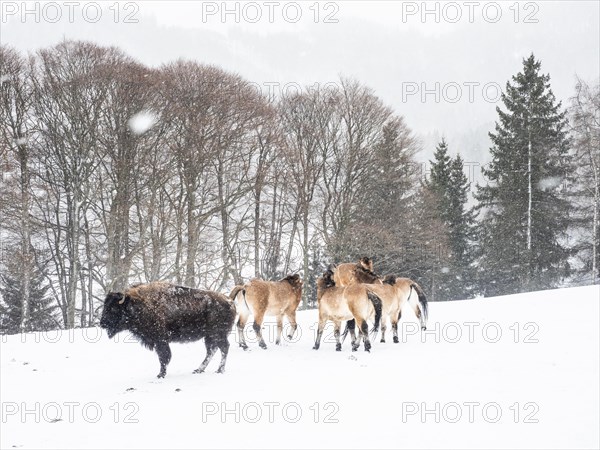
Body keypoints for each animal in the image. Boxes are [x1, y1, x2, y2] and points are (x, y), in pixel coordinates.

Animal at [99, 284, 236, 378]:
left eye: (113, 308)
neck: (137, 304)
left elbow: (164, 357)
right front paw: (161, 373)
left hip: (218, 334)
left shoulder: (160, 340)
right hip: (209, 336)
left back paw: (219, 370)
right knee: (211, 350)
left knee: (223, 348)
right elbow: (163, 357)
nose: (102, 324)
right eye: (105, 306)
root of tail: (230, 301)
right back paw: (198, 370)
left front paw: (160, 374)